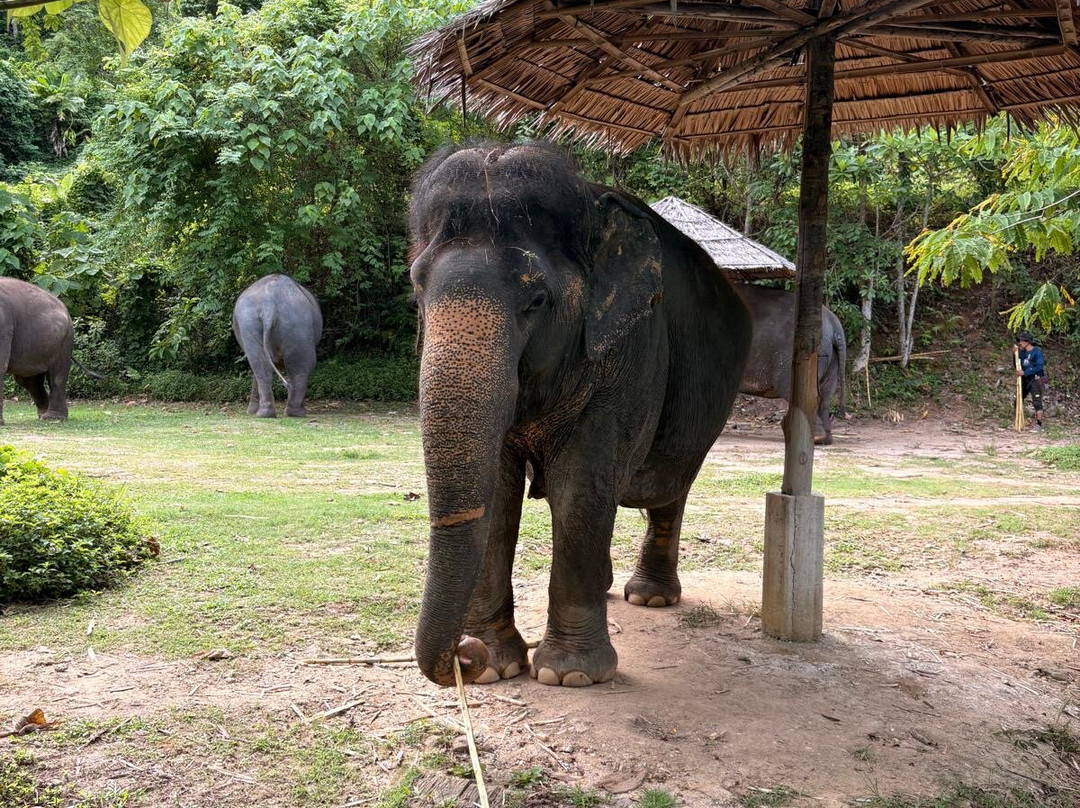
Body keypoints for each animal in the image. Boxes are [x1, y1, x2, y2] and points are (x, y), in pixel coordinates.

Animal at [0, 277, 76, 424]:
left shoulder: (4, 326)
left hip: (64, 342)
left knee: (56, 377)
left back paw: (52, 418)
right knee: (28, 380)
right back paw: (43, 415)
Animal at [232, 274, 322, 418]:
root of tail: (268, 305)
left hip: (252, 322)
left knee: (261, 364)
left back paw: (266, 414)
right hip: (297, 323)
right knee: (300, 366)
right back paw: (294, 413)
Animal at [408, 141, 751, 689]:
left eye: (536, 300)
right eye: (417, 289)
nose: (464, 655)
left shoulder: (633, 344)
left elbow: (582, 484)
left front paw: (569, 675)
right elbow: (500, 493)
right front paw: (497, 666)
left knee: (670, 490)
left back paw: (649, 597)